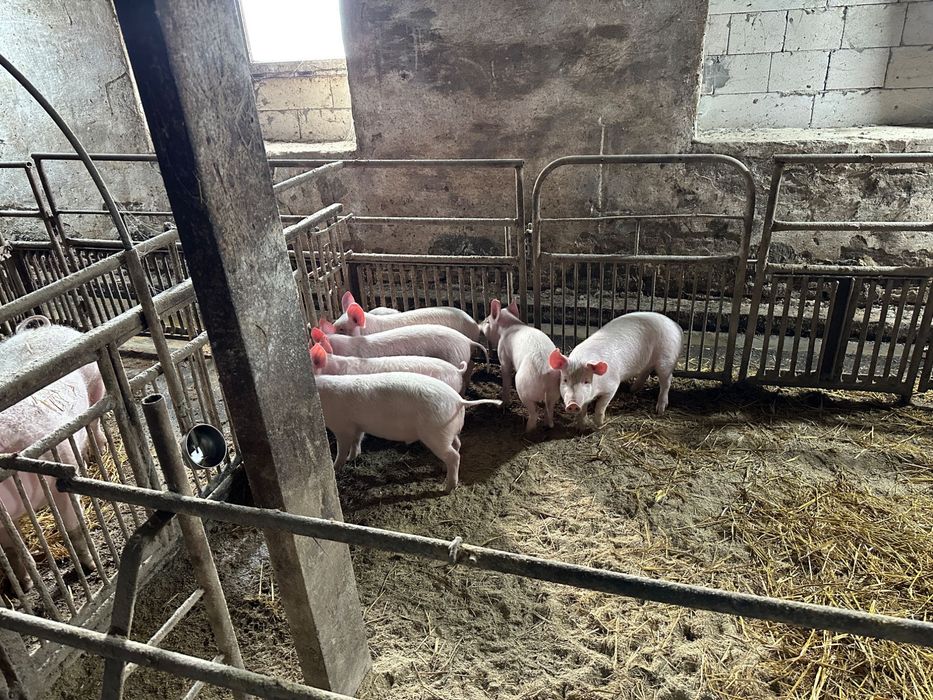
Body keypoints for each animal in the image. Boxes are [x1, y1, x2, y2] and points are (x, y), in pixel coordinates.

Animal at [0, 317, 104, 590]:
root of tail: (46, 327)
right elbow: (14, 551)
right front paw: (25, 586)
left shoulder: (61, 472)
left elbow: (74, 529)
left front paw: (89, 568)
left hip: (96, 386)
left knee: (94, 425)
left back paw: (96, 457)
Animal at [314, 372, 501, 491]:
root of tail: (459, 400)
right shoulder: (357, 425)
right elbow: (357, 440)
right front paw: (353, 457)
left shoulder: (342, 426)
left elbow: (342, 447)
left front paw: (336, 466)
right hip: (447, 432)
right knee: (457, 445)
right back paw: (442, 470)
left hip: (435, 433)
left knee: (454, 456)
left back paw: (447, 487)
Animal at [480, 299, 560, 432]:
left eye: (487, 321)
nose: (478, 324)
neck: (510, 325)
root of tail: (546, 375)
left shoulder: (503, 354)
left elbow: (506, 374)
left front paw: (502, 405)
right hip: (555, 392)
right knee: (549, 410)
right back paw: (547, 425)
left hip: (523, 387)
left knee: (534, 413)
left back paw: (527, 430)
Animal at [547, 311, 683, 427]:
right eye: (565, 380)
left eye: (586, 381)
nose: (573, 404)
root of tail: (675, 325)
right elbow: (583, 408)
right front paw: (582, 425)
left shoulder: (612, 386)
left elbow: (600, 406)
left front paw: (599, 424)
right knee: (646, 371)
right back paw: (632, 389)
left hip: (666, 358)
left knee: (666, 381)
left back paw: (660, 410)